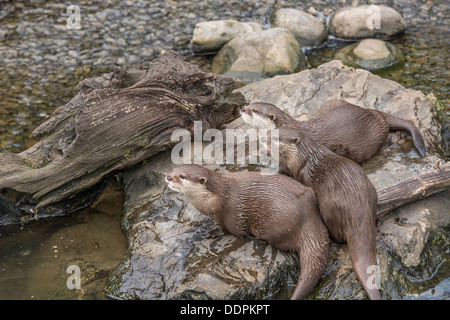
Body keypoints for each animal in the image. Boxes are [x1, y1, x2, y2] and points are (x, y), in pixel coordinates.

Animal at [167, 165, 328, 300]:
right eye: (174, 169)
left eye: (182, 176)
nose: (168, 177)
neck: (216, 198)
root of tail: (309, 219)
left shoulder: (230, 215)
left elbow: (232, 231)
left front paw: (212, 232)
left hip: (277, 228)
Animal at [266, 127, 382, 300]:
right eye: (271, 131)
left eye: (275, 138)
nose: (264, 138)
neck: (304, 158)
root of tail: (358, 209)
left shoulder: (300, 173)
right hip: (372, 192)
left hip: (328, 207)